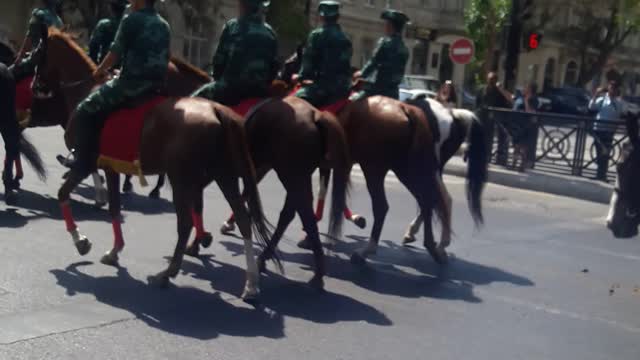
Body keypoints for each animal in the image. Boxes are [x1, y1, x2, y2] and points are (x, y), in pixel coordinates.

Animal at [31, 28, 278, 300]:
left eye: (38, 51)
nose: (34, 86)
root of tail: (217, 111)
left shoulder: (85, 163)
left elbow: (63, 194)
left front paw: (81, 241)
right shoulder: (111, 167)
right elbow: (114, 207)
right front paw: (114, 251)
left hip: (182, 178)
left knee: (186, 222)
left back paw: (169, 272)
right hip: (223, 175)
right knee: (243, 219)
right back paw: (251, 283)